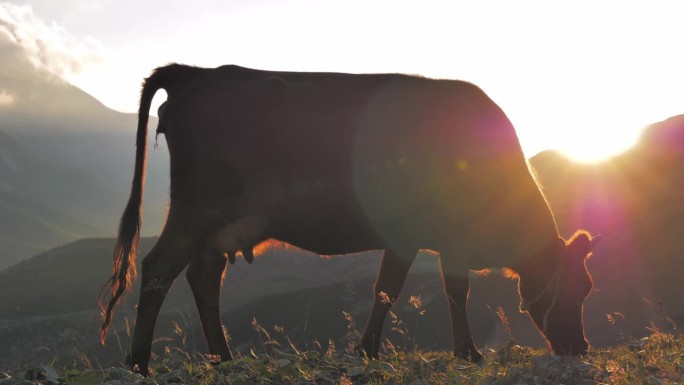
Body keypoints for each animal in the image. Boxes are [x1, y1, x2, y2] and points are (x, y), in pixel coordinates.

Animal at [99, 63, 596, 376]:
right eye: (581, 287)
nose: (581, 347)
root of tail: (196, 73)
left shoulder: (407, 238)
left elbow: (386, 290)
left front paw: (367, 350)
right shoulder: (448, 240)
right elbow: (450, 291)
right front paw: (468, 353)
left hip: (219, 227)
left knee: (204, 277)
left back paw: (224, 358)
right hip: (195, 209)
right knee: (159, 269)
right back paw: (139, 364)